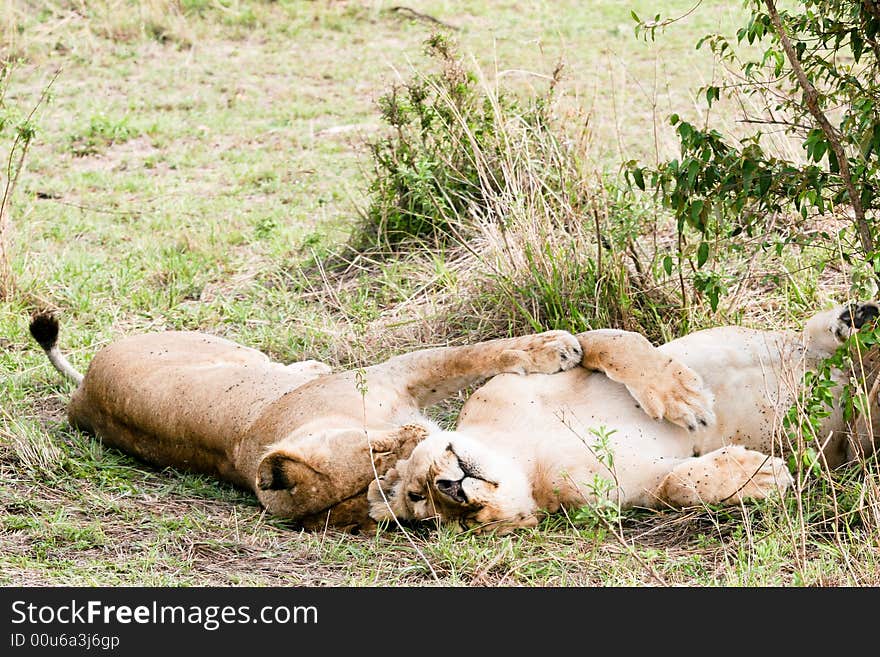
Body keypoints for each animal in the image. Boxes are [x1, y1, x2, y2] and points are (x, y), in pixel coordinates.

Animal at [29, 310, 716, 532]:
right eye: (404, 498)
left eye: (385, 467)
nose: (449, 482)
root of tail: (82, 394)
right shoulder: (396, 378)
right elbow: (478, 353)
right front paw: (556, 348)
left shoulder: (393, 373)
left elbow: (478, 351)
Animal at [368, 302, 880, 532]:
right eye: (448, 520)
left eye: (416, 492)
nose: (451, 491)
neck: (523, 454)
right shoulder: (625, 495)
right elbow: (678, 486)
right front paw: (761, 474)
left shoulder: (538, 368)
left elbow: (612, 342)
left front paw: (682, 396)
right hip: (852, 441)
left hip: (811, 346)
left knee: (827, 341)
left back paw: (856, 320)